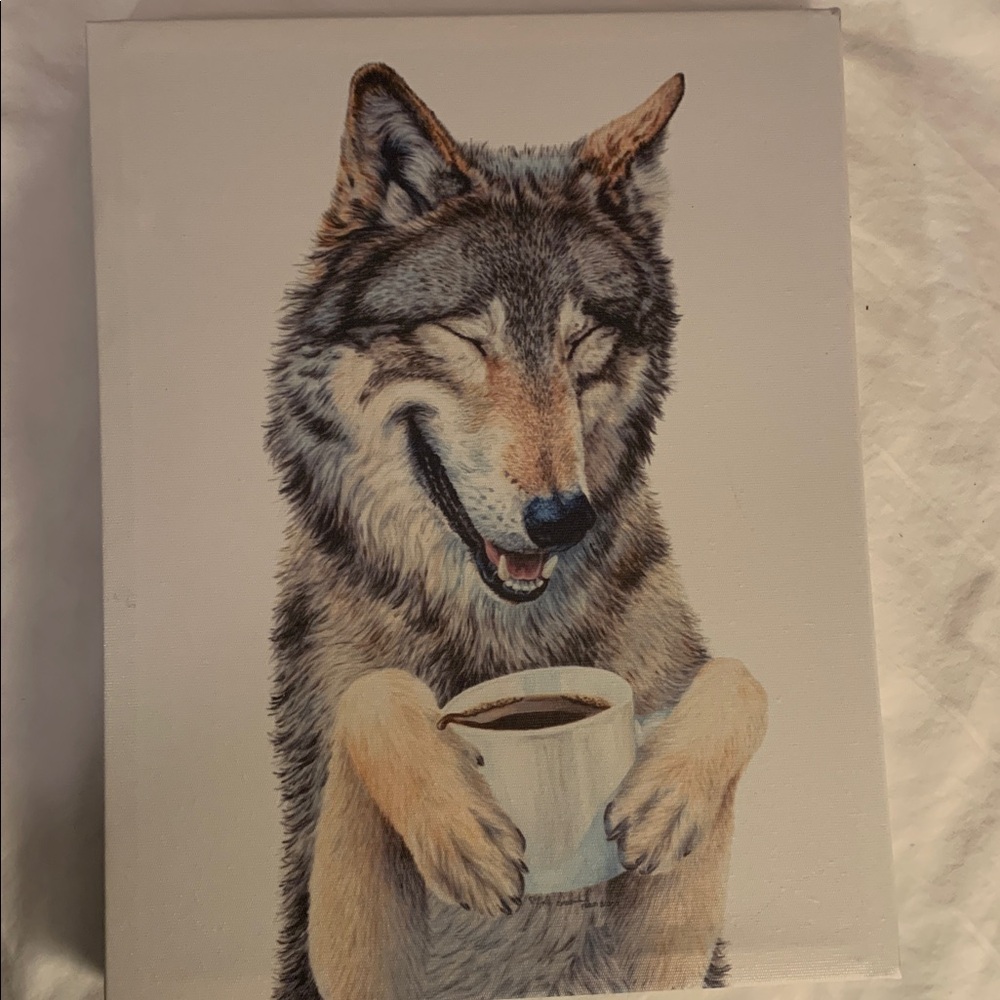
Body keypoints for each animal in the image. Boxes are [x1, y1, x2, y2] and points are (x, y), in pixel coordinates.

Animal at [265, 63, 768, 1000]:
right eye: (468, 336)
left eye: (584, 341)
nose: (563, 517)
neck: (504, 637)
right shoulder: (333, 934)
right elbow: (372, 692)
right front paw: (458, 826)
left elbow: (737, 676)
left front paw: (666, 795)